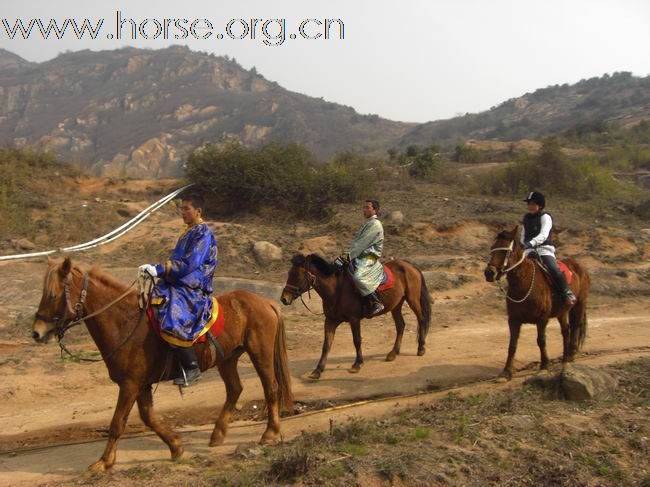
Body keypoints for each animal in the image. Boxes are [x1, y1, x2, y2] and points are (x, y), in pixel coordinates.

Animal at [33, 260, 292, 472]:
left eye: (53, 295)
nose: (37, 332)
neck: (125, 323)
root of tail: (266, 302)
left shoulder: (130, 384)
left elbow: (117, 423)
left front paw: (104, 462)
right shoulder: (141, 385)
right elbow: (148, 417)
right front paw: (176, 447)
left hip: (260, 353)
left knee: (271, 387)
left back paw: (269, 433)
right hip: (227, 358)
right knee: (235, 389)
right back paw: (217, 434)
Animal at [278, 255, 430, 382]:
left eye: (297, 276)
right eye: (289, 274)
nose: (284, 299)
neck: (336, 289)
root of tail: (409, 265)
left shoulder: (354, 319)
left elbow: (357, 341)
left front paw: (357, 364)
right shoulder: (330, 321)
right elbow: (326, 345)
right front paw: (318, 370)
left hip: (412, 299)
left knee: (421, 318)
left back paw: (421, 348)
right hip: (396, 304)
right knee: (400, 325)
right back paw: (393, 353)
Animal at [480, 226, 588, 382]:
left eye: (507, 250)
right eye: (492, 248)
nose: (489, 273)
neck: (523, 284)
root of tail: (580, 267)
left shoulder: (542, 320)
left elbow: (541, 341)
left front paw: (544, 365)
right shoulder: (514, 320)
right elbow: (512, 345)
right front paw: (506, 372)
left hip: (580, 304)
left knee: (576, 326)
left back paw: (571, 354)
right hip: (562, 312)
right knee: (566, 330)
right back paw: (565, 357)